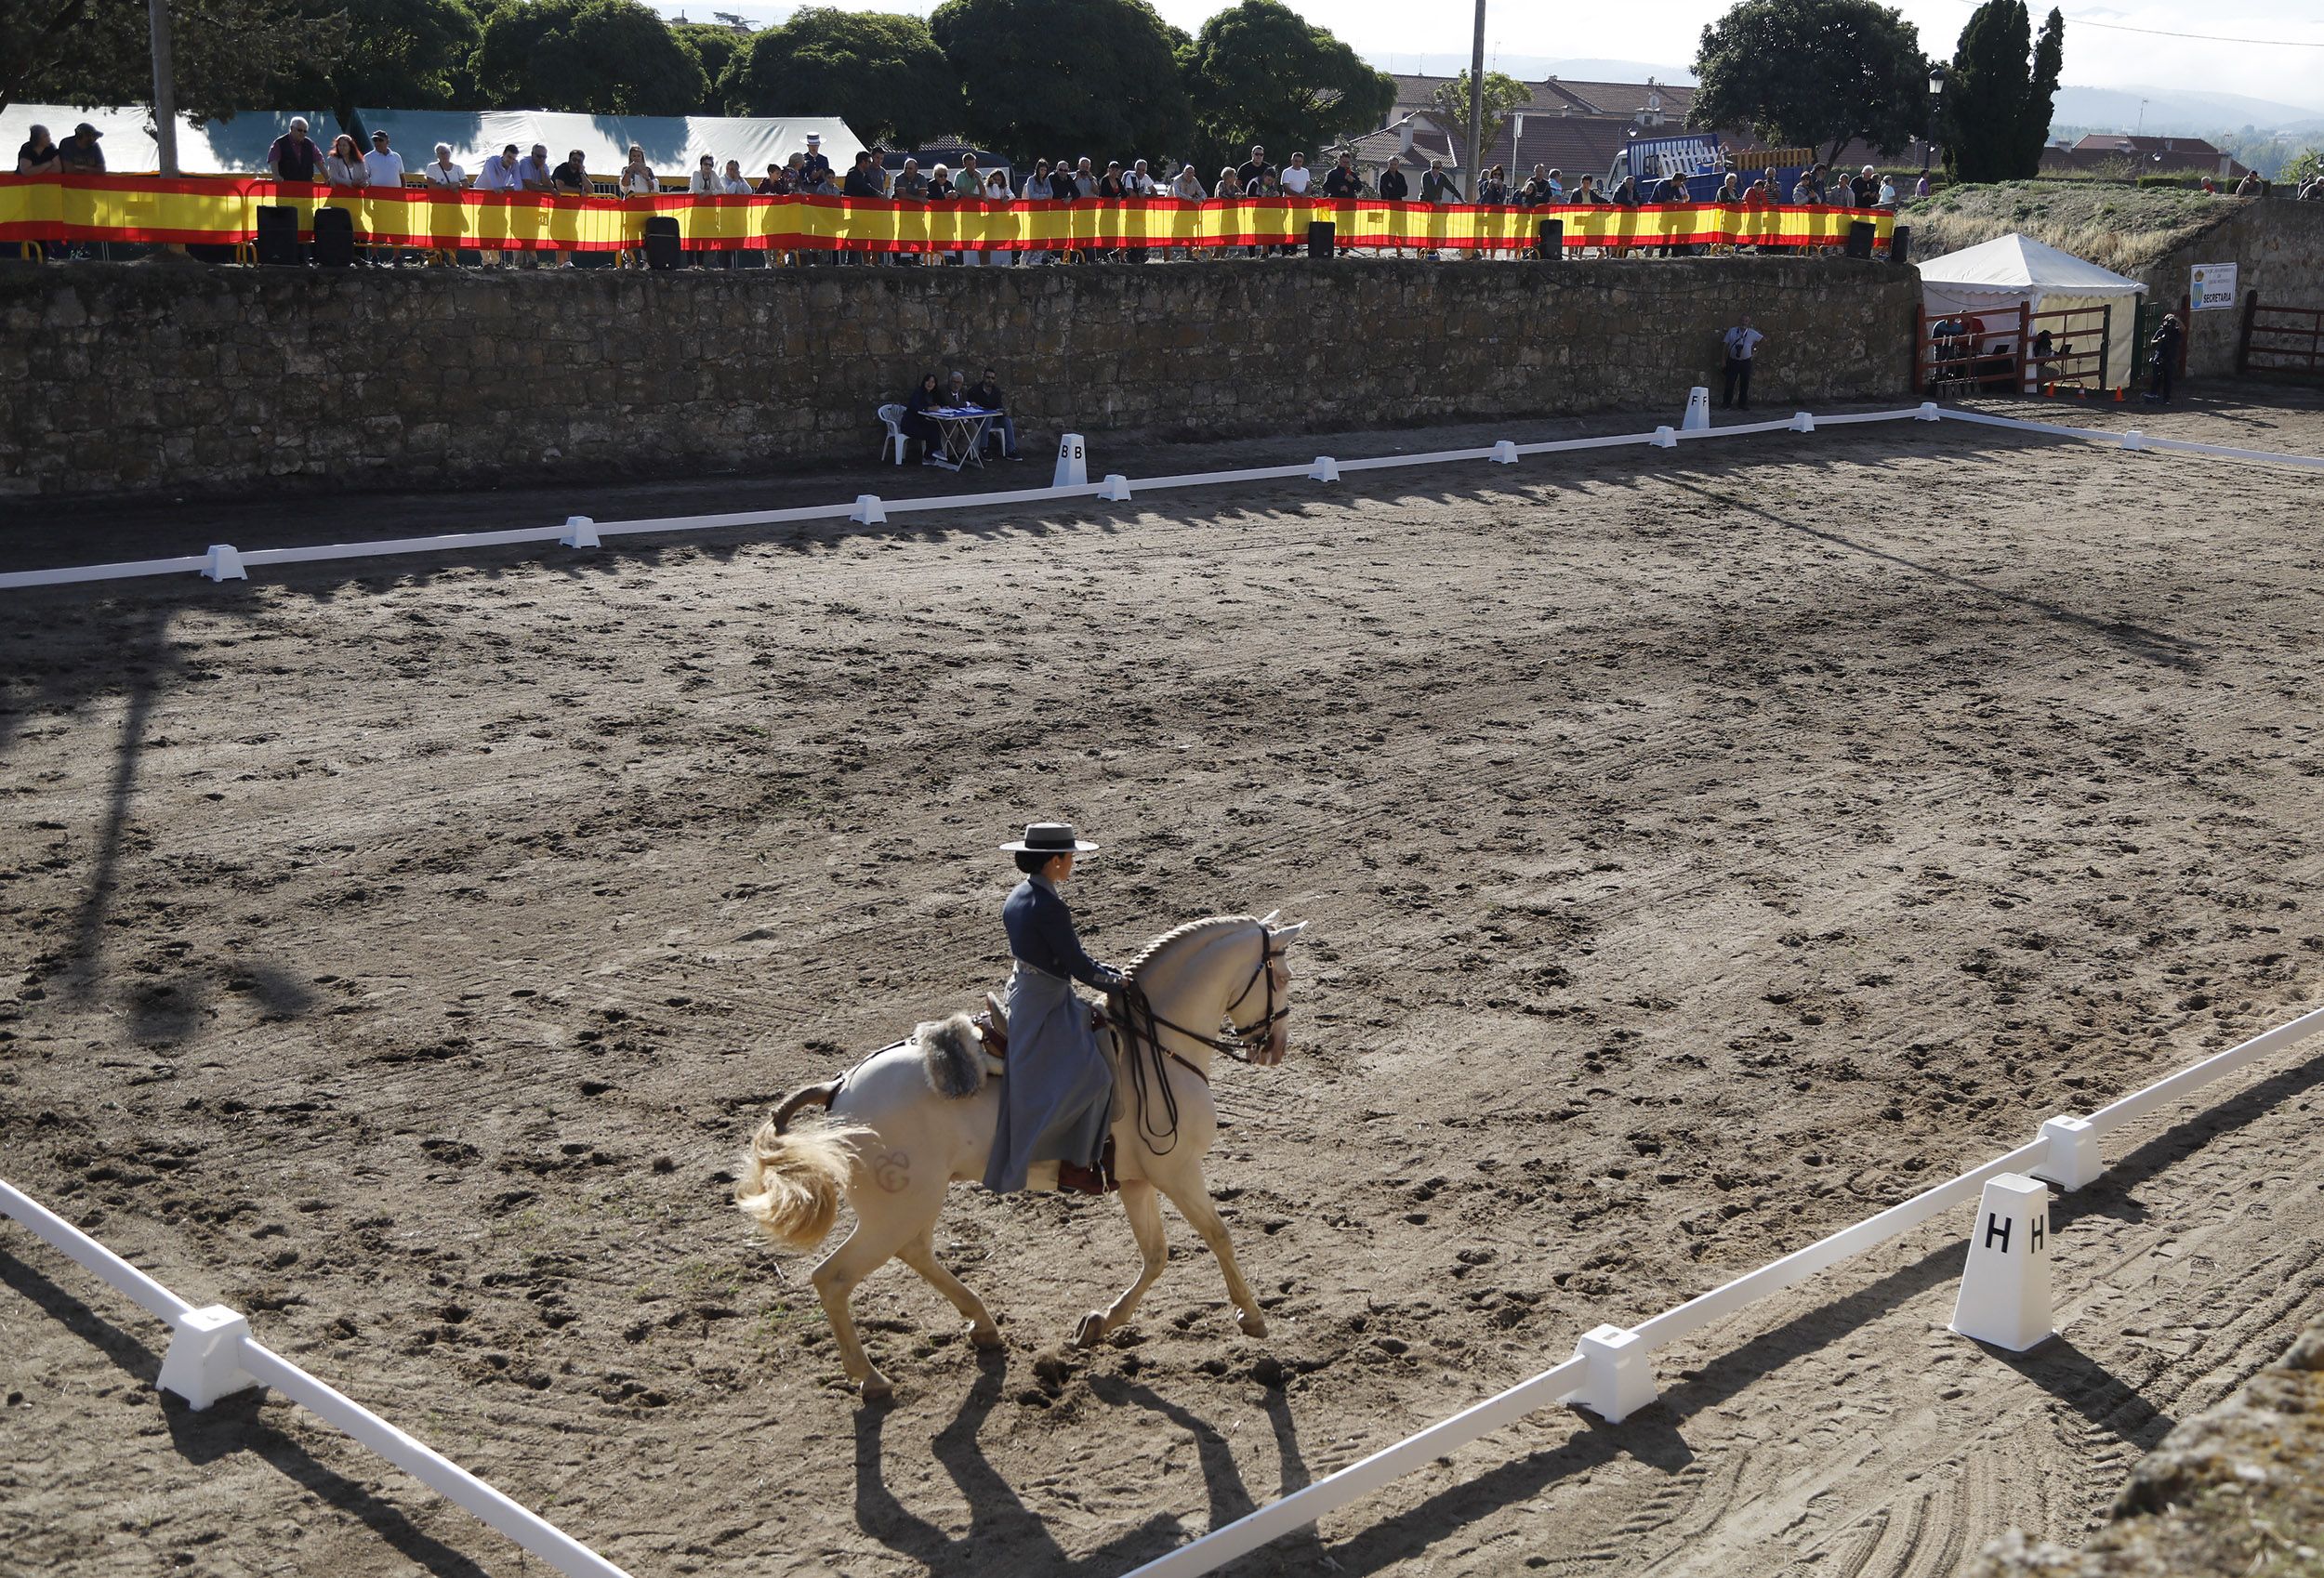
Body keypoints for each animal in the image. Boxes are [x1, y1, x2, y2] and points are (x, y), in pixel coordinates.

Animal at [734, 906, 1301, 1403]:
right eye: (1282, 976)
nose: (1274, 1047)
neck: (1152, 1043)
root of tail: (839, 1087)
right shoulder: (1178, 1171)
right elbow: (1218, 1234)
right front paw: (1252, 1317)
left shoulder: (1139, 1181)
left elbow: (1157, 1255)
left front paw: (1098, 1324)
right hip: (897, 1209)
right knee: (833, 1278)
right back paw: (871, 1378)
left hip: (911, 1206)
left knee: (915, 1252)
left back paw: (983, 1326)